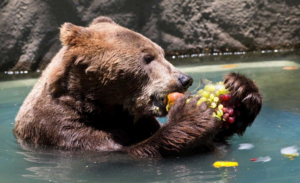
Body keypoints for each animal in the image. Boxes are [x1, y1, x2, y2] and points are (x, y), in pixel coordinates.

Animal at [14, 16, 262, 158]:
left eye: (162, 53)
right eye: (148, 57)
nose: (184, 79)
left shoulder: (137, 121)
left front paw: (240, 90)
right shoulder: (59, 128)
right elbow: (124, 152)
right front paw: (193, 113)